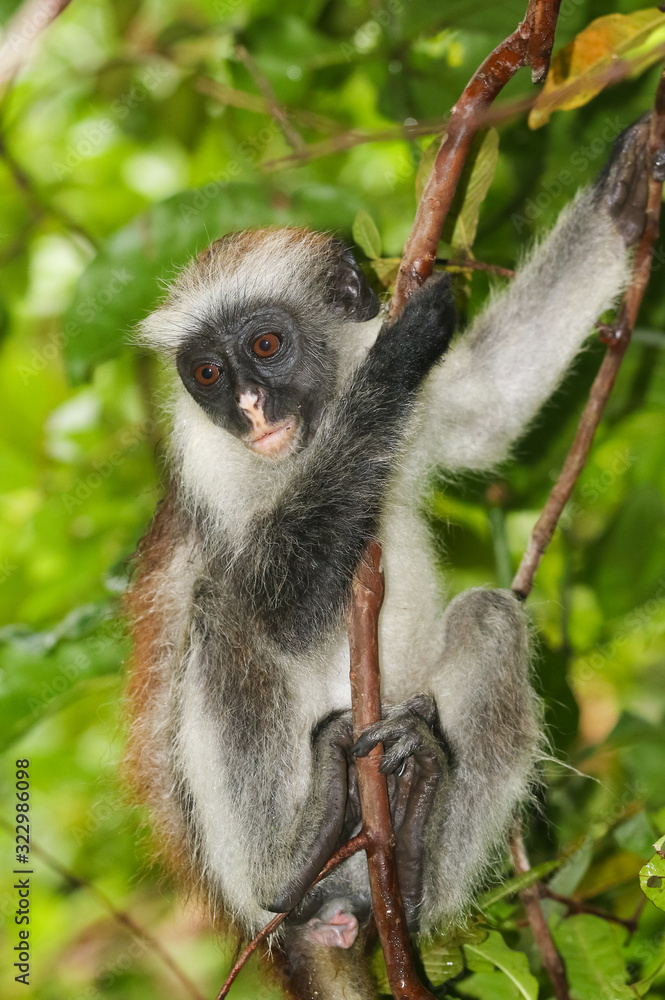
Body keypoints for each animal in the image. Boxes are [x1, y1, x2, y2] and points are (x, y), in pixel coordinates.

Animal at [126, 117, 660, 1000]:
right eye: (206, 374)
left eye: (265, 344)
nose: (248, 408)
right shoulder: (215, 469)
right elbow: (278, 602)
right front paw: (395, 355)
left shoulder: (423, 412)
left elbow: (485, 409)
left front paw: (621, 192)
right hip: (245, 864)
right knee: (226, 609)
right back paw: (297, 857)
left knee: (490, 618)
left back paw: (410, 857)